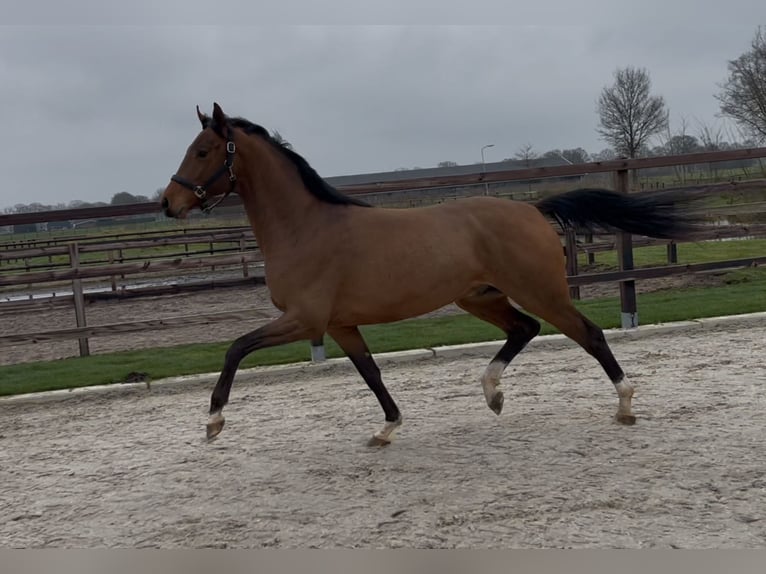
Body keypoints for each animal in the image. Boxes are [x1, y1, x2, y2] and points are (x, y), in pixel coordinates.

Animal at [162, 103, 704, 446]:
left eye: (204, 151)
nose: (169, 203)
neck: (306, 227)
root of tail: (531, 209)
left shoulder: (305, 320)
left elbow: (235, 348)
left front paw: (213, 421)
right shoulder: (339, 324)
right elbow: (371, 373)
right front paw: (387, 427)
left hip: (540, 290)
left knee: (587, 334)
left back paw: (625, 405)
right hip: (479, 296)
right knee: (524, 329)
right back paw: (493, 393)